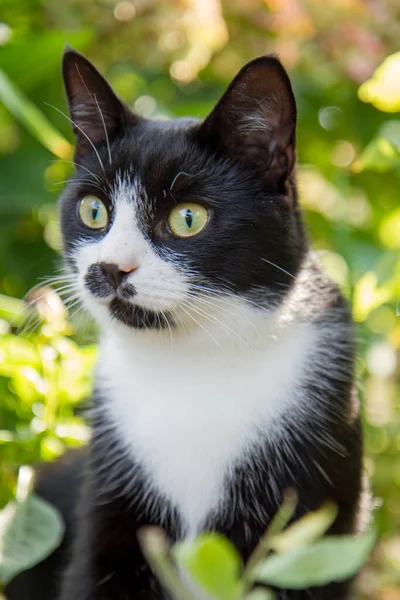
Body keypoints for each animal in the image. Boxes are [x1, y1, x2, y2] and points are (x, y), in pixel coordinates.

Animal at [5, 48, 366, 600]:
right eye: (93, 211)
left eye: (188, 219)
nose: (109, 268)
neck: (190, 362)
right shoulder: (109, 495)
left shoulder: (311, 511)